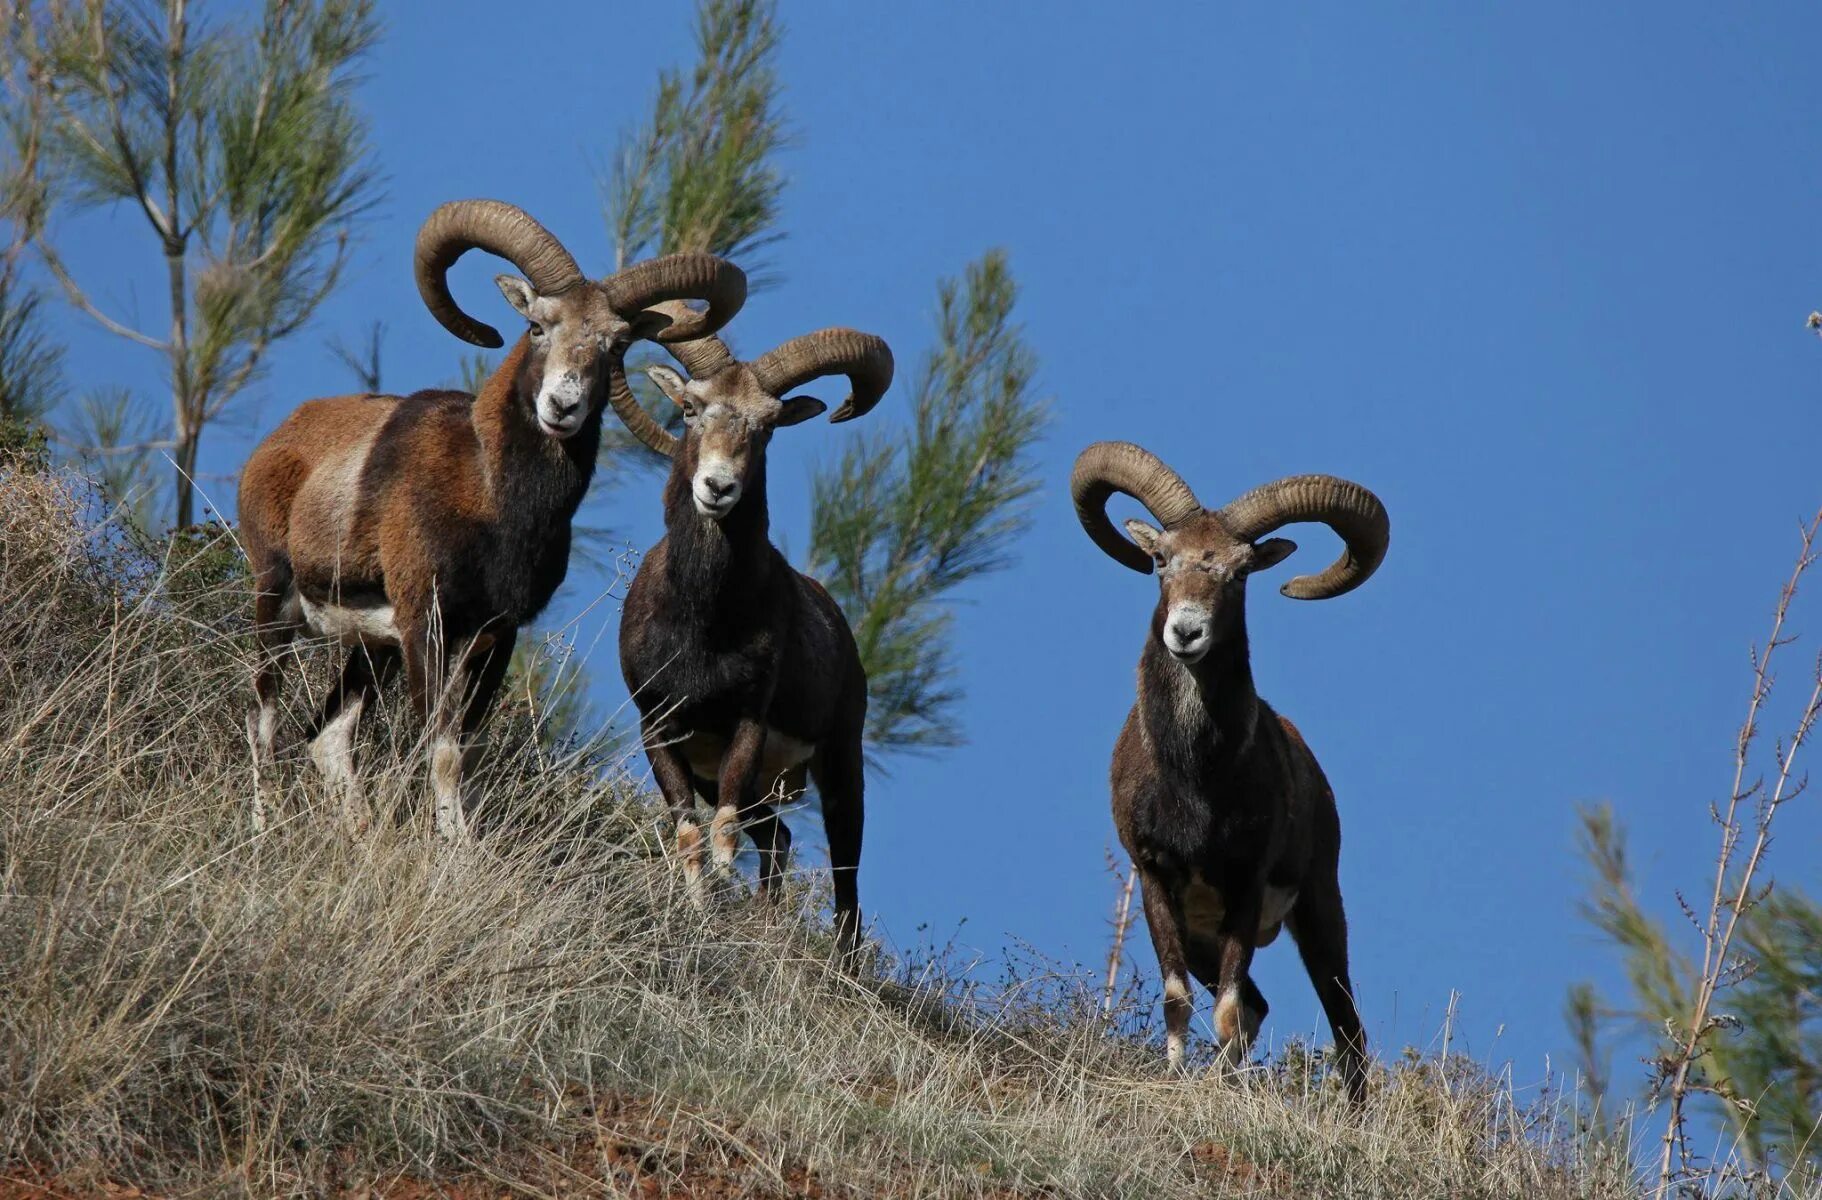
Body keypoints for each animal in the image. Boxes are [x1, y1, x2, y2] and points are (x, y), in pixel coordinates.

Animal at [240, 202, 747, 841]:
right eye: (536, 327)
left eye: (614, 345)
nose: (562, 407)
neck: (493, 499)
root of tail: (279, 442)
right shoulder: (425, 623)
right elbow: (439, 750)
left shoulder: (495, 635)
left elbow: (466, 755)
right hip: (276, 602)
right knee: (263, 716)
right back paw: (261, 831)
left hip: (371, 650)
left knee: (328, 738)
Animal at [615, 315, 892, 954]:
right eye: (690, 407)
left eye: (766, 427)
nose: (717, 488)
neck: (702, 624)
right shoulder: (659, 729)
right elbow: (691, 835)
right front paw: (700, 912)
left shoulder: (747, 723)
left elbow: (723, 835)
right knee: (779, 839)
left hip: (841, 769)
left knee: (846, 889)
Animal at [1071, 437, 1384, 1099]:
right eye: (1161, 559)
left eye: (1239, 573)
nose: (1186, 632)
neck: (1194, 778)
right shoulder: (1157, 884)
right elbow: (1179, 1000)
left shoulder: (1245, 883)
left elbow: (1229, 1011)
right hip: (1204, 942)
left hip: (1319, 913)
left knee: (1347, 1033)